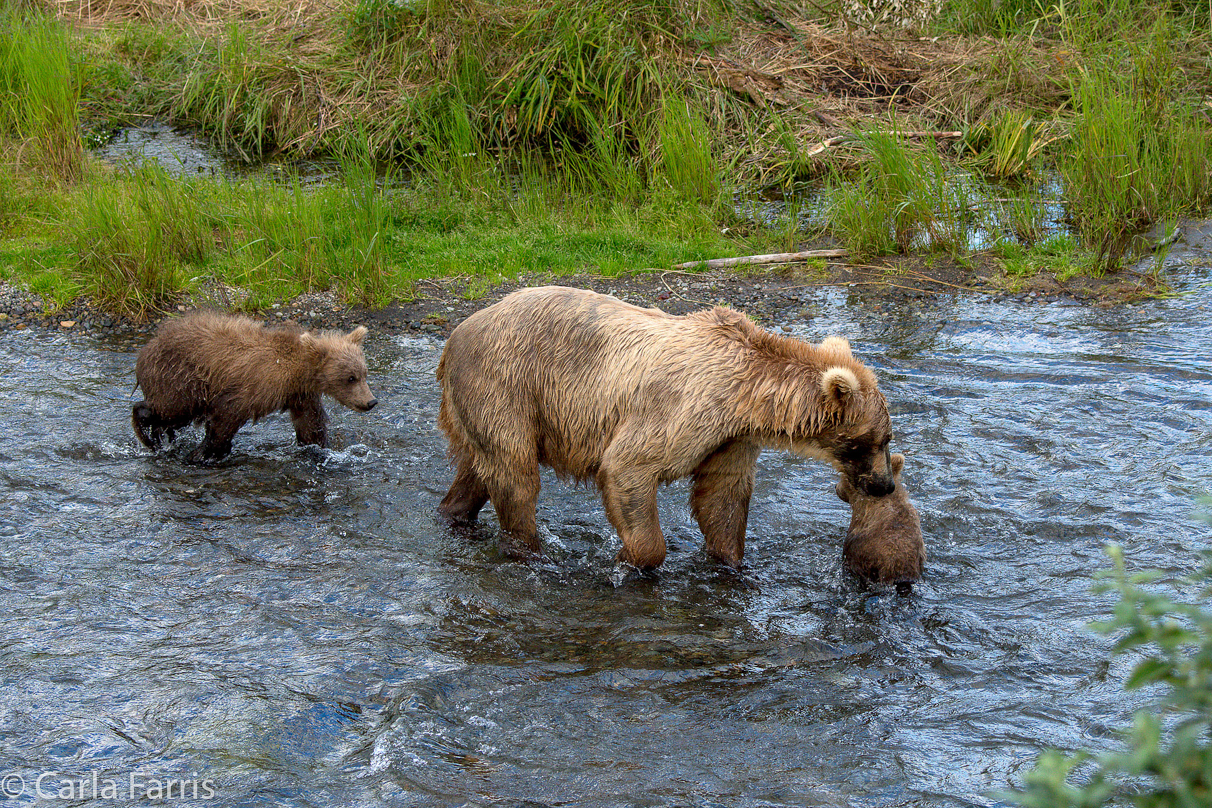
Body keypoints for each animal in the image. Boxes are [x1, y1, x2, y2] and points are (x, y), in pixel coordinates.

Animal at [130, 310, 375, 460]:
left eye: (364, 373)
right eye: (350, 378)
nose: (371, 401)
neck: (297, 372)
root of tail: (147, 347)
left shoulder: (300, 395)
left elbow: (310, 425)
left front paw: (318, 449)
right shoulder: (253, 387)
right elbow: (224, 418)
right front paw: (203, 453)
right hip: (179, 377)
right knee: (171, 408)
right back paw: (149, 433)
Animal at [433, 287, 892, 571]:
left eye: (888, 438)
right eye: (875, 440)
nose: (884, 485)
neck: (748, 398)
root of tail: (454, 335)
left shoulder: (730, 438)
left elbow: (722, 498)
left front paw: (731, 561)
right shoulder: (682, 411)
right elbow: (628, 467)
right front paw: (632, 558)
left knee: (479, 469)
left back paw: (455, 515)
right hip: (505, 384)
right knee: (516, 476)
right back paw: (530, 552)